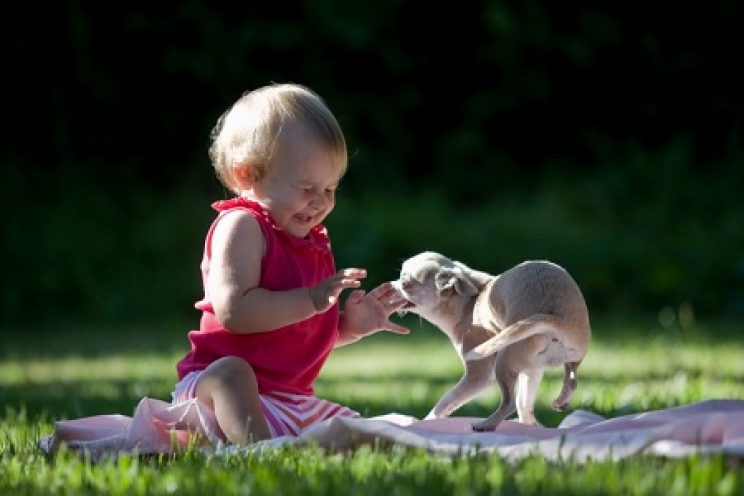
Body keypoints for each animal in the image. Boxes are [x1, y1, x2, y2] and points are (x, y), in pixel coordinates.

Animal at [392, 252, 588, 430]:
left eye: (405, 284)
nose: (389, 286)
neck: (468, 303)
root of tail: (558, 320)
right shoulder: (532, 370)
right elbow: (525, 404)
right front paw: (531, 425)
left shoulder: (478, 376)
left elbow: (446, 400)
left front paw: (427, 421)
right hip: (562, 359)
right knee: (567, 382)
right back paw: (557, 404)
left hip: (504, 360)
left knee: (509, 402)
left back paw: (487, 425)